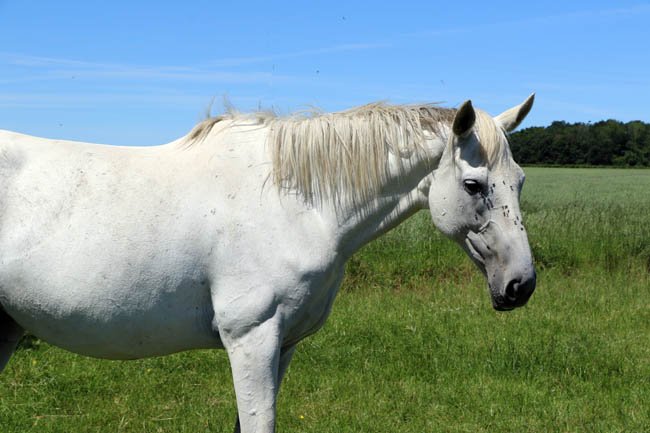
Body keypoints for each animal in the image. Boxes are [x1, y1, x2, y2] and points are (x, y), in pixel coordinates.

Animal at [0, 94, 536, 432]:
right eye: (473, 185)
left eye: (521, 181)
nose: (521, 285)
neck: (296, 202)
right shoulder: (251, 338)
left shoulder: (284, 345)